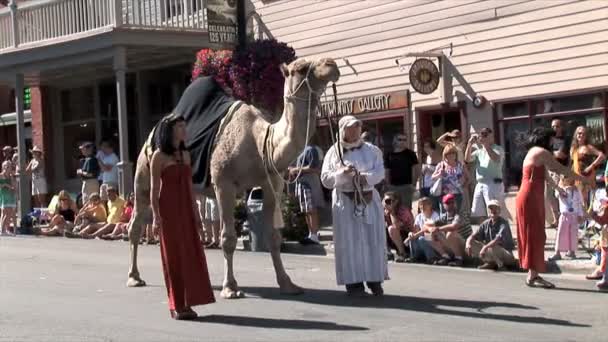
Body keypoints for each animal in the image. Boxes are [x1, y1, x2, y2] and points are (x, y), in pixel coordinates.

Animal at [125, 57, 340, 298]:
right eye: (301, 68)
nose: (331, 64)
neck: (262, 142)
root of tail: (152, 133)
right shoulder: (223, 183)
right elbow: (228, 238)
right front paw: (230, 287)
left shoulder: (272, 184)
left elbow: (273, 237)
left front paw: (287, 284)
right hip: (144, 173)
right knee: (135, 223)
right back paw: (134, 277)